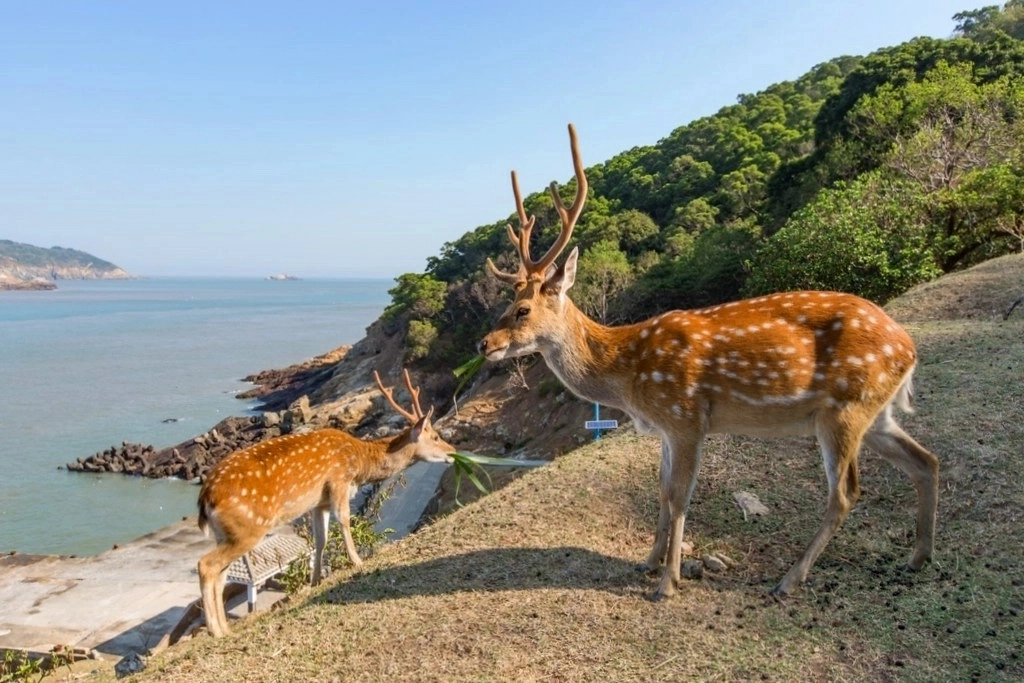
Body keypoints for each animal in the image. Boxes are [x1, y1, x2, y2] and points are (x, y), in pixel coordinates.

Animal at [196, 369, 455, 637]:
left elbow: (321, 539)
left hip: (226, 534)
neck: (359, 465)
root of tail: (205, 498)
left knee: (220, 574)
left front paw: (316, 580)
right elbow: (344, 522)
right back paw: (215, 631)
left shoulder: (318, 502)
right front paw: (357, 561)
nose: (453, 451)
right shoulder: (339, 481)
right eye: (435, 436)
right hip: (248, 529)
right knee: (205, 565)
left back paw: (225, 628)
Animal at [478, 123, 940, 601]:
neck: (629, 376)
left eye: (522, 310)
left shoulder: (685, 416)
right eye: (508, 304)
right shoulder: (666, 428)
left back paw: (790, 579)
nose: (483, 344)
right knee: (926, 461)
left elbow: (680, 496)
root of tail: (908, 347)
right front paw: (648, 562)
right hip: (875, 412)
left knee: (846, 492)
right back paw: (919, 556)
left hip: (843, 409)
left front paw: (668, 582)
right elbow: (662, 491)